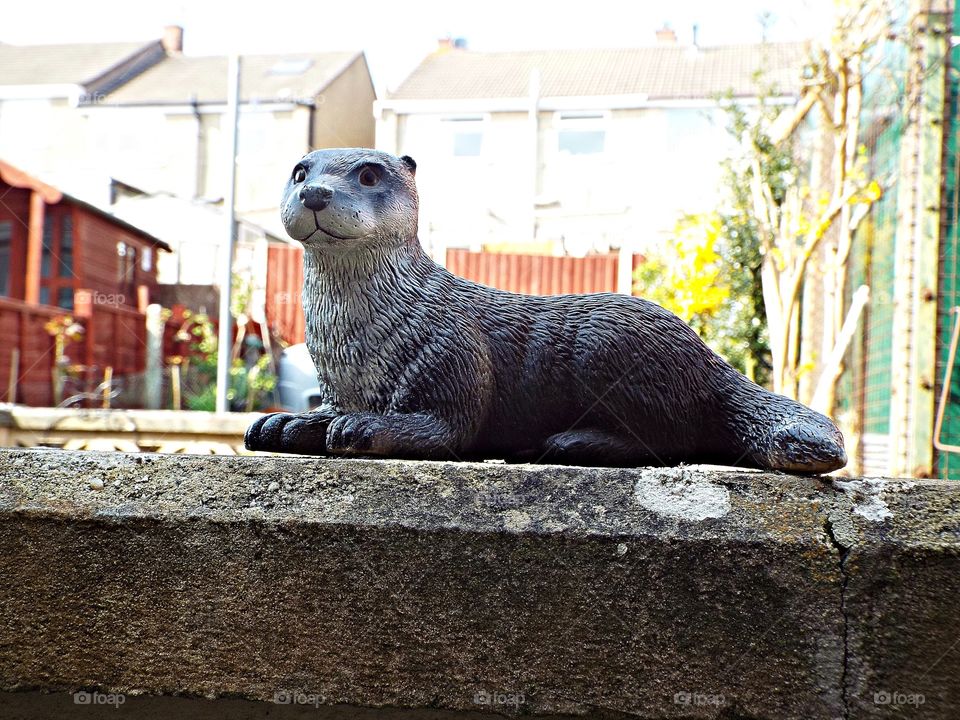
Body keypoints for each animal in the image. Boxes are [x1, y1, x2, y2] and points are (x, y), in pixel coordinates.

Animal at [245, 148, 847, 473]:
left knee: (672, 440)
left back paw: (565, 443)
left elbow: (446, 427)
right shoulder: (339, 382)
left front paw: (362, 427)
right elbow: (323, 413)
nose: (316, 194)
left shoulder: (452, 357)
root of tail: (708, 357)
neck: (359, 341)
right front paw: (288, 422)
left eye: (369, 174)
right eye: (300, 171)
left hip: (612, 346)